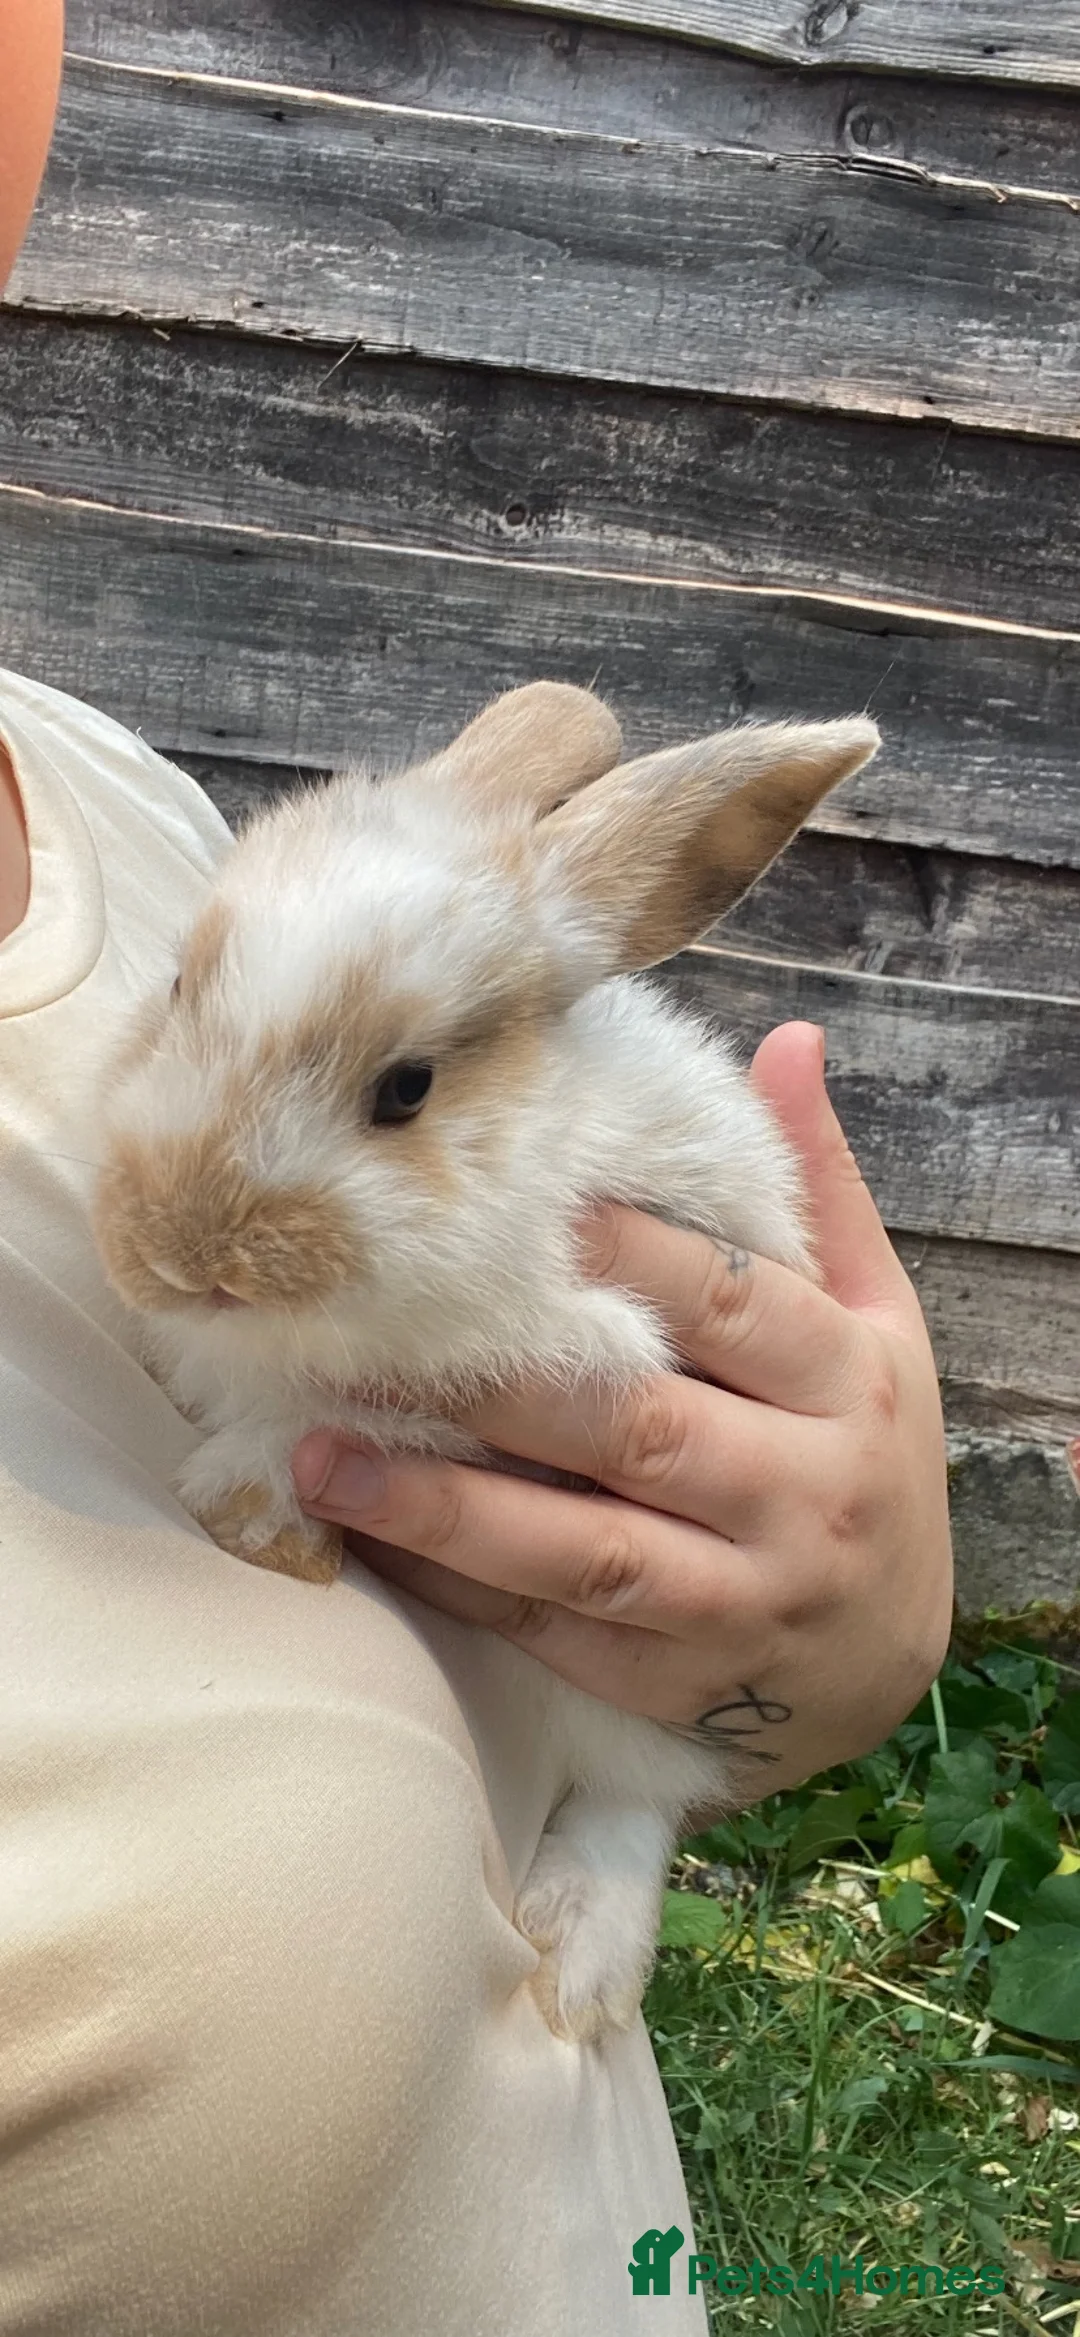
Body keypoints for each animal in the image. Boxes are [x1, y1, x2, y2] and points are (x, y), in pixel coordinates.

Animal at [92, 680, 879, 2043]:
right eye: (179, 986)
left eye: (407, 1090)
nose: (188, 1250)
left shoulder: (556, 1359)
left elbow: (363, 1422)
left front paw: (251, 1514)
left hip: (638, 1706)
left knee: (635, 1797)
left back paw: (580, 1965)